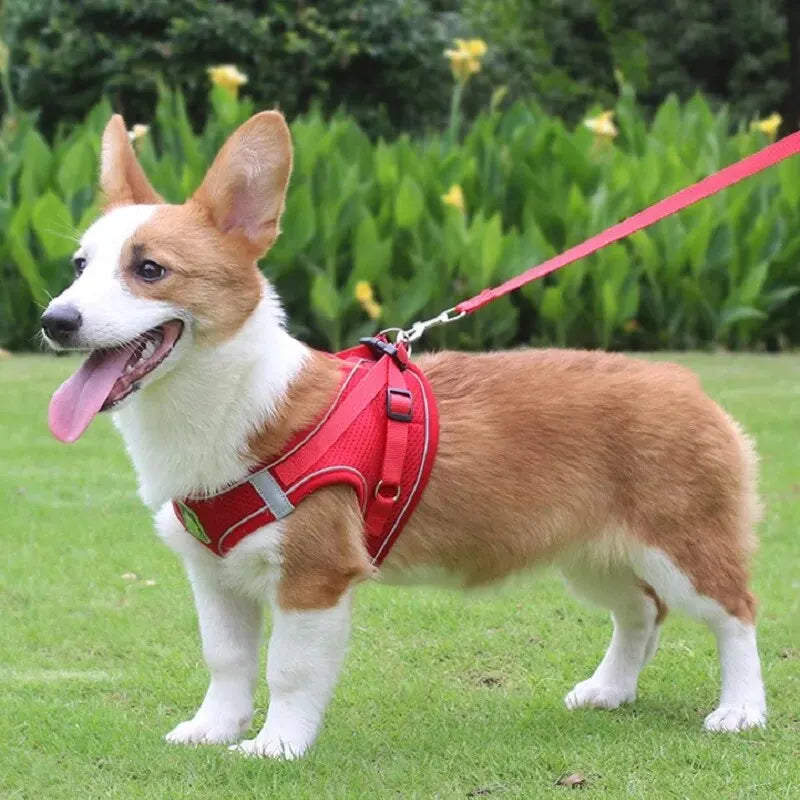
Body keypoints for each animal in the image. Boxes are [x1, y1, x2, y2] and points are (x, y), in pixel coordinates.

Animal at [42, 111, 768, 756]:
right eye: (79, 266)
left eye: (150, 270)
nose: (54, 321)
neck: (225, 405)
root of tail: (685, 383)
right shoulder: (214, 574)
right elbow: (226, 660)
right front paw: (213, 731)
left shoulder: (314, 577)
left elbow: (289, 670)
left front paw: (276, 746)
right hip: (594, 554)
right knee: (640, 611)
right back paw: (609, 689)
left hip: (682, 548)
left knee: (736, 613)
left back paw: (741, 710)